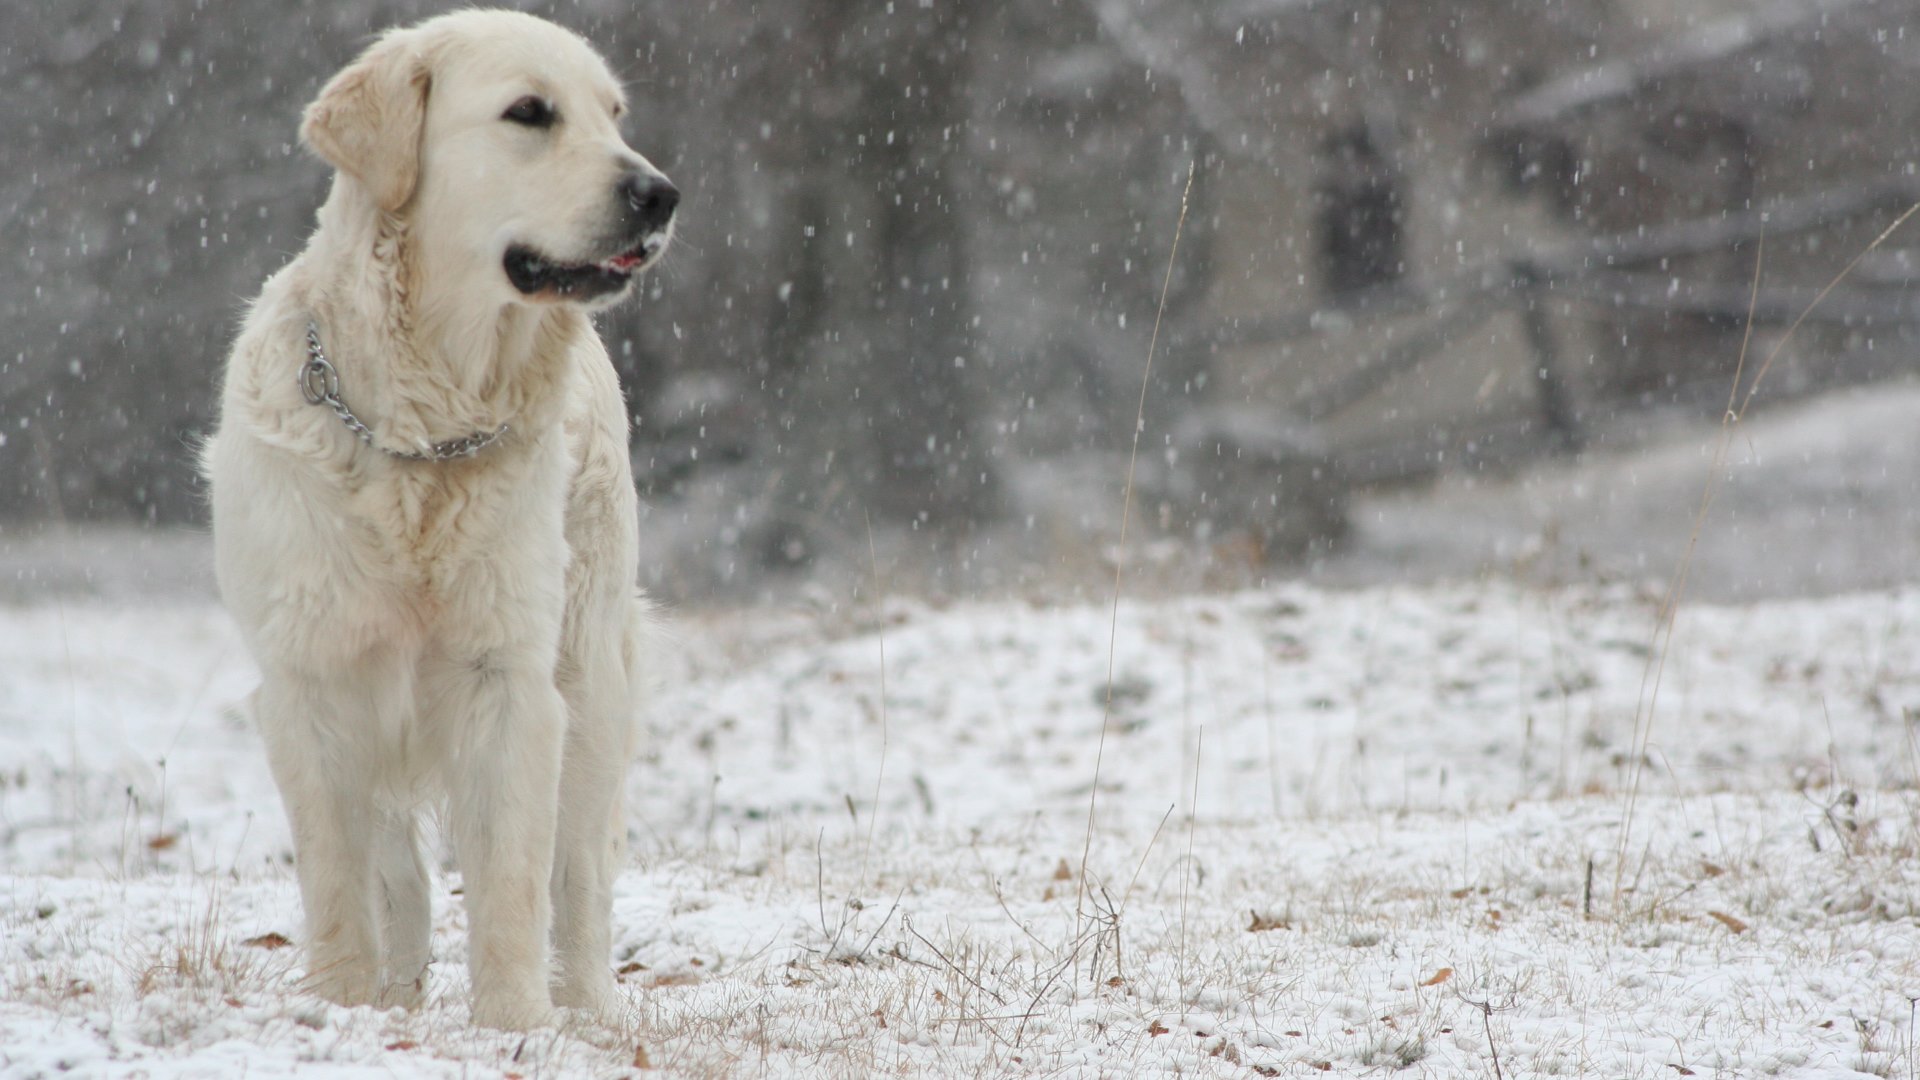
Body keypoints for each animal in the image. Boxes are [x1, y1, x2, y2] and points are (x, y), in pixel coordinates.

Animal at [208, 12, 675, 1030]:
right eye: (530, 112)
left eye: (614, 115)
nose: (659, 193)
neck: (422, 434)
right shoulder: (313, 675)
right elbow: (339, 875)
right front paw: (342, 1008)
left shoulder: (509, 677)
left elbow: (512, 877)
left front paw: (517, 1023)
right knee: (400, 875)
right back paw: (396, 995)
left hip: (594, 670)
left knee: (581, 876)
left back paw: (588, 1009)